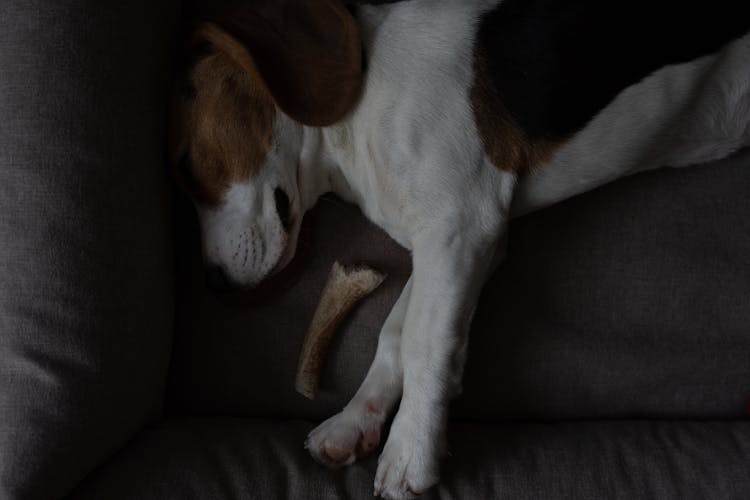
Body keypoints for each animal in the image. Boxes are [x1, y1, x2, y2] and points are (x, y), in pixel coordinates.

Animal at [170, 1, 750, 498]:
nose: (214, 284)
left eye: (188, 167)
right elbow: (396, 334)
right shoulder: (462, 244)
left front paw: (411, 449)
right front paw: (358, 419)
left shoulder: (458, 225)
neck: (356, 116)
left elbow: (423, 343)